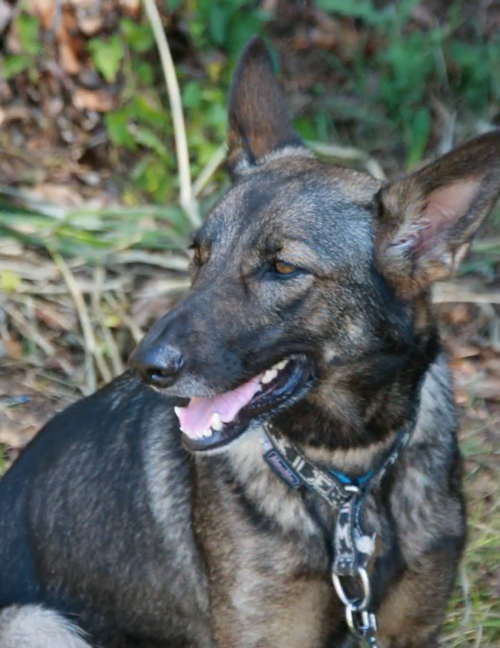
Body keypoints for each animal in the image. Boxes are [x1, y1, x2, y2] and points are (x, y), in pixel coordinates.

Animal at [1, 36, 499, 647]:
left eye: (282, 267)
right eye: (198, 255)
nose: (146, 366)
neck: (347, 477)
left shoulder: (412, 628)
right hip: (35, 619)